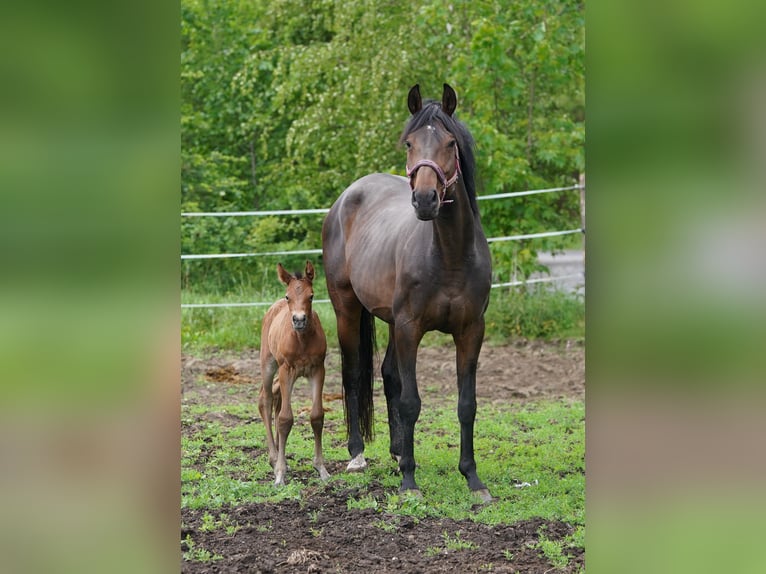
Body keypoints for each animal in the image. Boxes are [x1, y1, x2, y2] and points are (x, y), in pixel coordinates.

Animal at [258, 264, 330, 488]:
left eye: (311, 296)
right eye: (288, 296)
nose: (299, 320)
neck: (302, 339)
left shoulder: (318, 370)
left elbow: (316, 416)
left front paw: (321, 469)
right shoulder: (286, 369)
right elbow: (285, 419)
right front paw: (280, 473)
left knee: (276, 396)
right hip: (269, 364)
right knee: (266, 400)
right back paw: (274, 459)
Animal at [322, 83, 492, 502]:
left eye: (450, 142)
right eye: (410, 143)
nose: (426, 200)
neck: (449, 254)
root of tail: (349, 194)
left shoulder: (470, 331)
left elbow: (466, 404)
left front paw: (472, 477)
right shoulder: (410, 327)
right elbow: (412, 401)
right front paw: (410, 482)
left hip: (390, 320)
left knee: (387, 375)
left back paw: (398, 450)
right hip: (347, 307)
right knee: (354, 374)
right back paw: (358, 454)